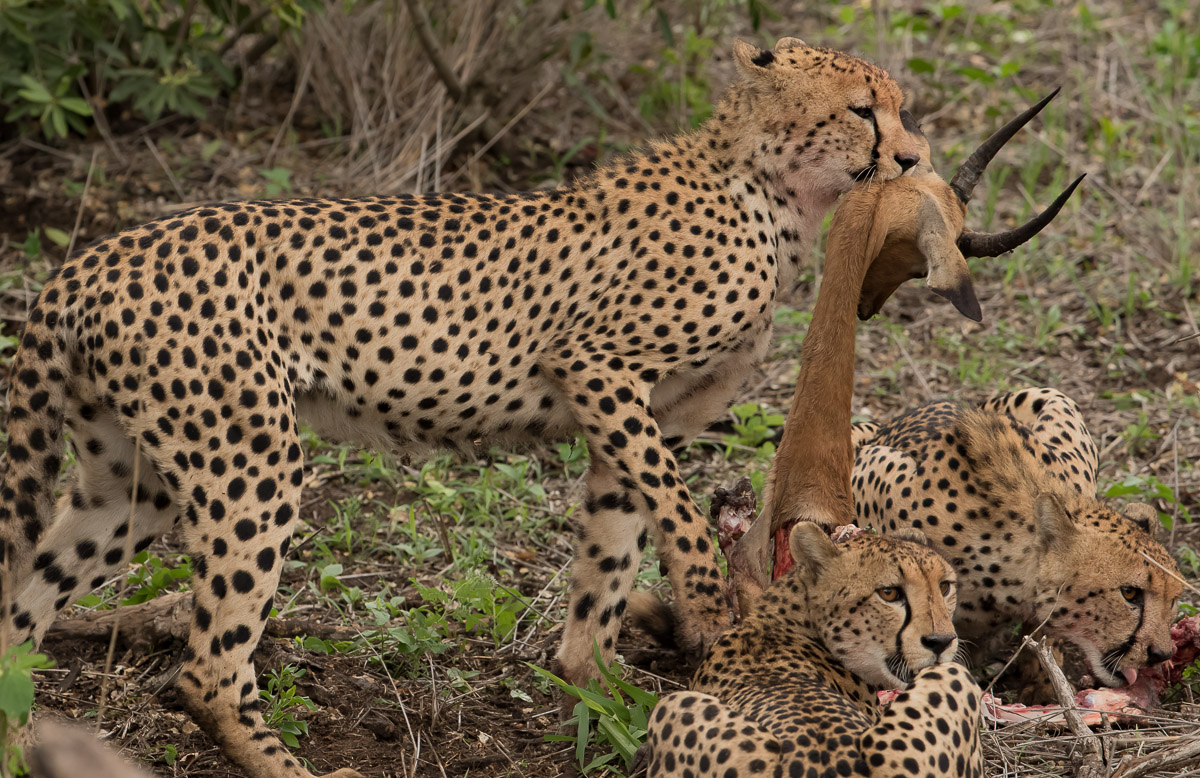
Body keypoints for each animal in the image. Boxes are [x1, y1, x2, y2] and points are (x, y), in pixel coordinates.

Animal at [0, 36, 926, 778]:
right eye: (861, 111)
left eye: (899, 108)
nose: (915, 160)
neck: (767, 187)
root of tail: (95, 257)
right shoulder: (599, 370)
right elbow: (681, 520)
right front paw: (704, 609)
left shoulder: (628, 412)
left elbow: (609, 553)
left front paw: (597, 683)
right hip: (249, 461)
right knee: (206, 672)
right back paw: (289, 767)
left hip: (134, 484)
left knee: (21, 612)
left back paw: (24, 746)